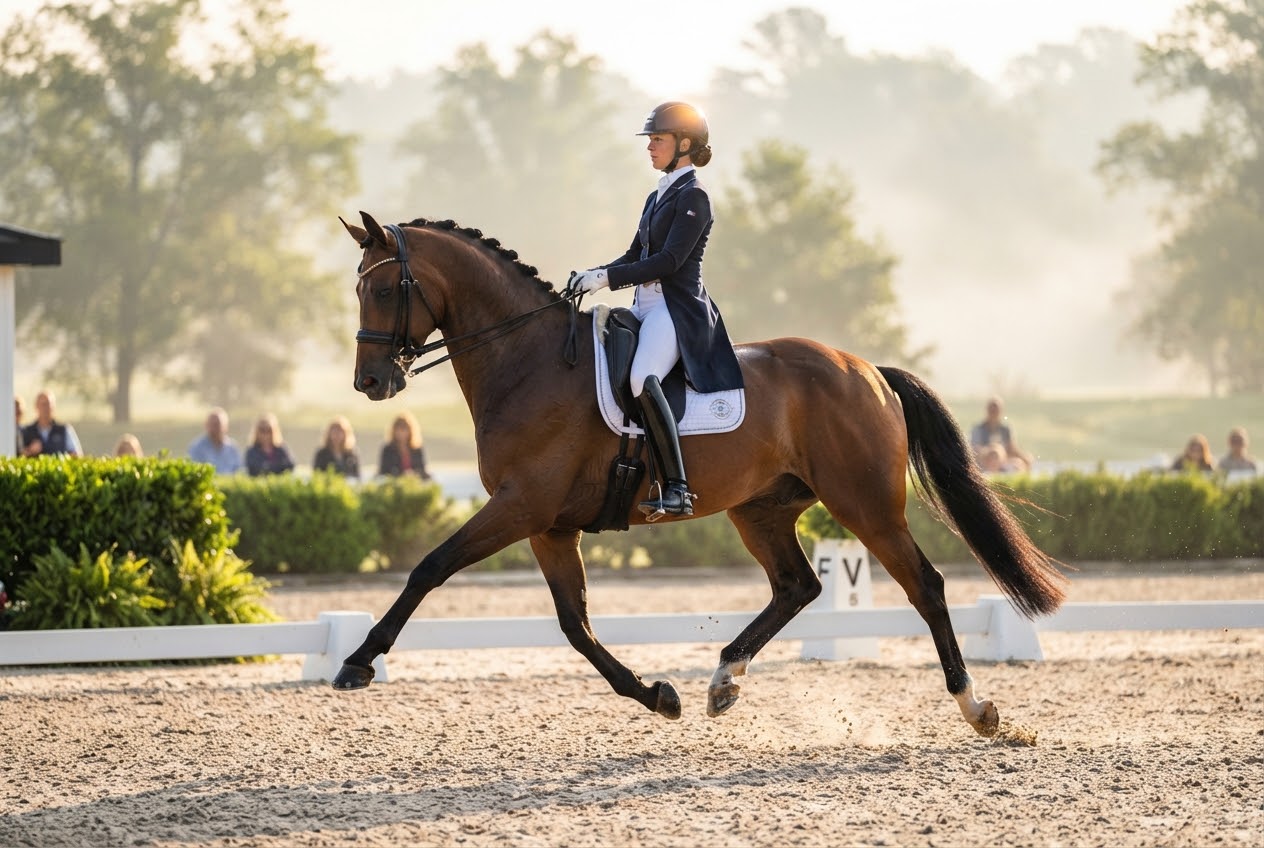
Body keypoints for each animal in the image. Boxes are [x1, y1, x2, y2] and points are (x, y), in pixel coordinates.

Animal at [334, 211, 1067, 737]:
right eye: (359, 289)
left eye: (382, 288)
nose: (370, 383)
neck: (529, 361)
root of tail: (867, 370)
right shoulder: (549, 526)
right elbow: (576, 626)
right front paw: (658, 695)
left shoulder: (521, 507)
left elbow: (429, 567)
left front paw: (357, 661)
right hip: (761, 508)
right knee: (797, 586)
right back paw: (722, 681)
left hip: (865, 506)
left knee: (926, 586)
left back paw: (976, 708)